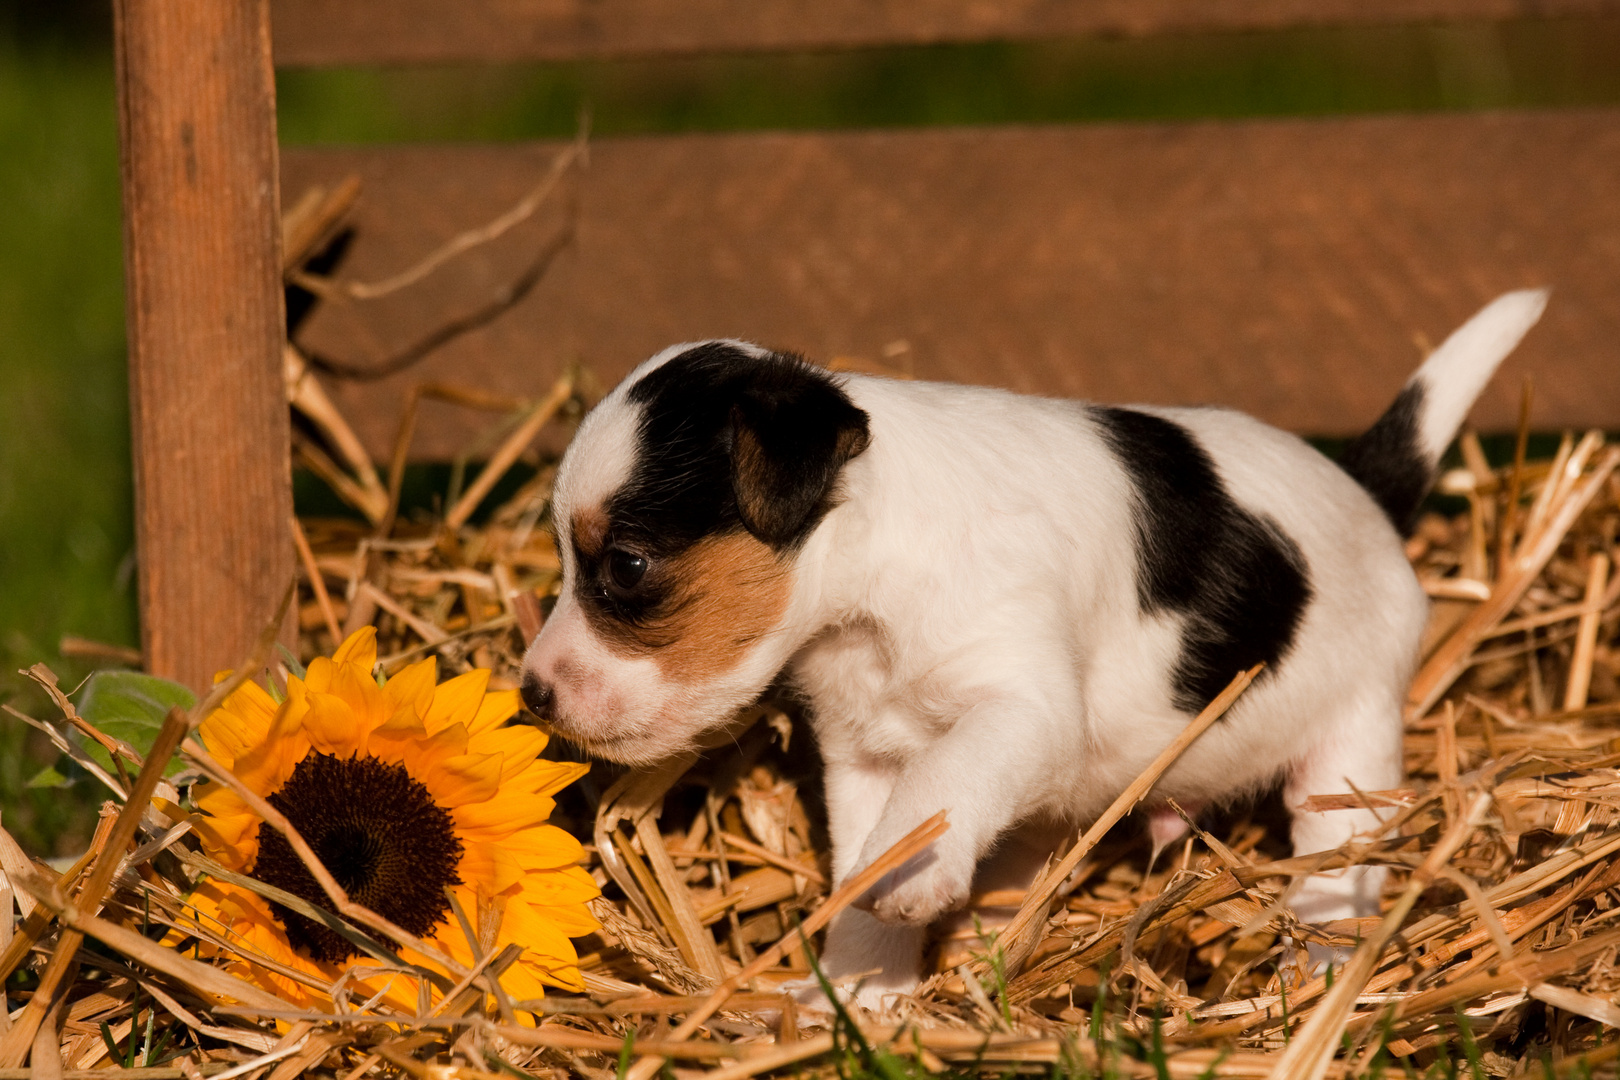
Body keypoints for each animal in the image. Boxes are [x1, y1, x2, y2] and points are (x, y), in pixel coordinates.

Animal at [524, 291, 1548, 1010]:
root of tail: (1369, 490)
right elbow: (865, 862)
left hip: (1349, 751)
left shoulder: (1024, 707)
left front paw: (908, 885)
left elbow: (944, 781)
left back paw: (1321, 967)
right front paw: (854, 998)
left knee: (1340, 863)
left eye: (626, 565)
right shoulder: (860, 756)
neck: (871, 567)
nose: (532, 694)